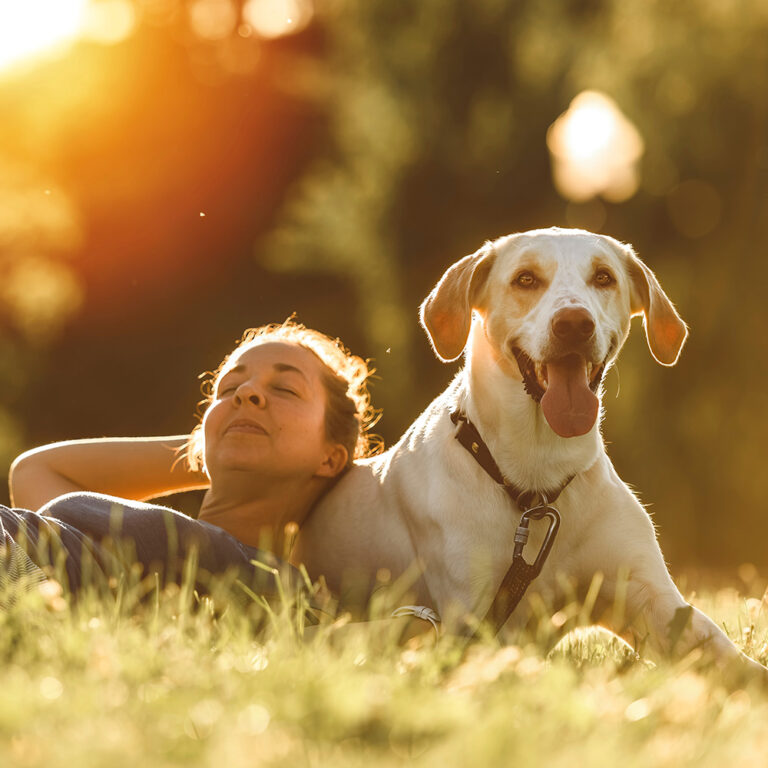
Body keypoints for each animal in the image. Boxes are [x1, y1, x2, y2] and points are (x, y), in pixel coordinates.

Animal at [292, 228, 760, 672]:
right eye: (526, 279)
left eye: (603, 277)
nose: (574, 323)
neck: (538, 475)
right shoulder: (478, 617)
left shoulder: (652, 597)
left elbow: (733, 661)